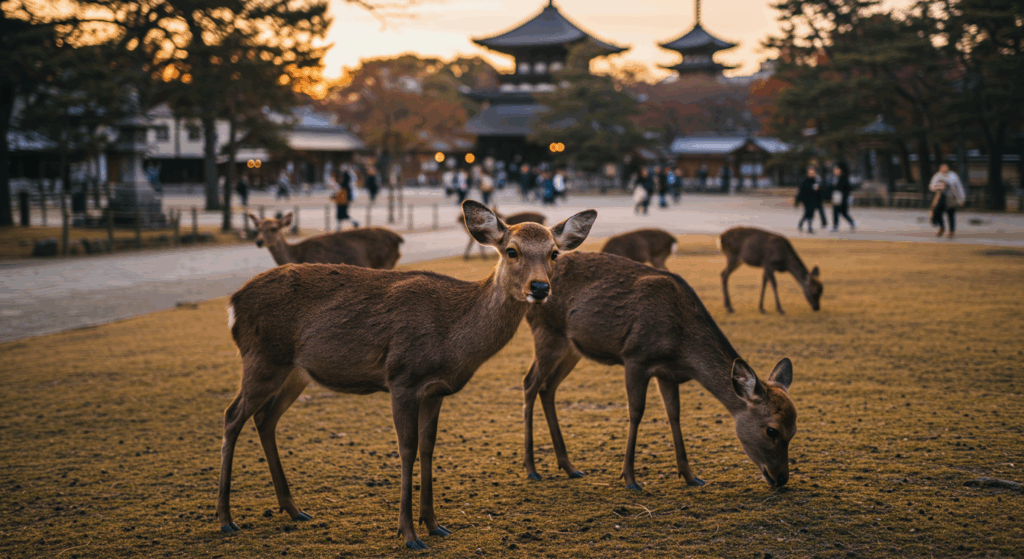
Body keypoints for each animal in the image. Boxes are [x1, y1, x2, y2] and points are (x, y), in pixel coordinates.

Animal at [249, 212, 404, 270]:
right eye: (258, 228)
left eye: (274, 228)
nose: (259, 242)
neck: (297, 257)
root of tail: (399, 239)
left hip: (384, 262)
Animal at [522, 251, 797, 491]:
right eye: (772, 430)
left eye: (794, 430)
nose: (781, 478)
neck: (682, 348)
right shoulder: (635, 357)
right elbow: (636, 412)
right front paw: (630, 479)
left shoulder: (668, 373)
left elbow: (674, 414)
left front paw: (691, 476)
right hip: (546, 332)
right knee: (530, 383)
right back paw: (532, 469)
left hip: (571, 348)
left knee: (548, 388)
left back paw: (569, 467)